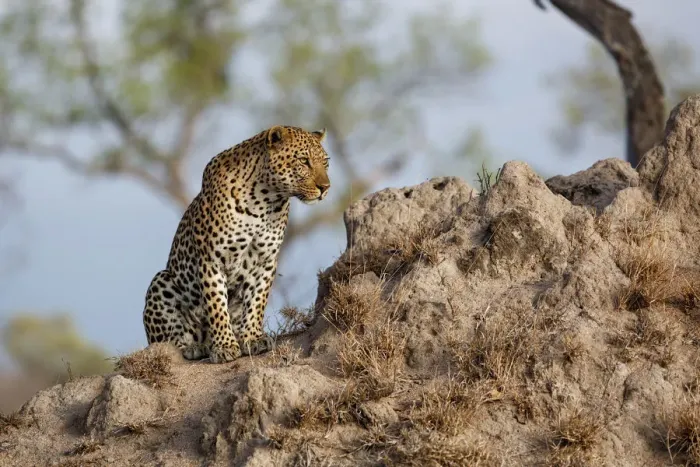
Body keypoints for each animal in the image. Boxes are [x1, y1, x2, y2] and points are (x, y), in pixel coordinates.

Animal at [142, 125, 331, 363]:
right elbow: (216, 305)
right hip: (162, 281)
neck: (265, 201)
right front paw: (224, 346)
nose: (325, 187)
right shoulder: (212, 260)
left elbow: (257, 301)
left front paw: (253, 338)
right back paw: (194, 347)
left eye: (325, 163)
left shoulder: (266, 261)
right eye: (304, 161)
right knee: (165, 342)